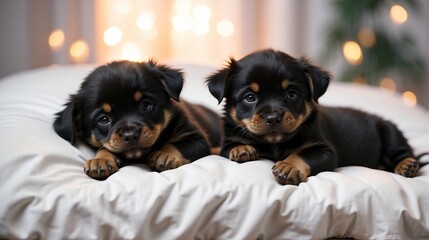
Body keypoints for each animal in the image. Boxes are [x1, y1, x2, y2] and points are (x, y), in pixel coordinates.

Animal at [54, 60, 221, 180]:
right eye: (103, 119)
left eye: (146, 105)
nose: (130, 135)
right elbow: (105, 148)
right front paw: (101, 160)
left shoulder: (198, 139)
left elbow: (175, 145)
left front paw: (164, 154)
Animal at [206, 48, 420, 186]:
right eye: (250, 97)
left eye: (292, 94)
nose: (273, 117)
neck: (275, 144)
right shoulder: (226, 143)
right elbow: (232, 145)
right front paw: (242, 148)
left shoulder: (325, 150)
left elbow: (302, 154)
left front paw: (288, 166)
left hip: (389, 131)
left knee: (402, 151)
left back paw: (406, 165)